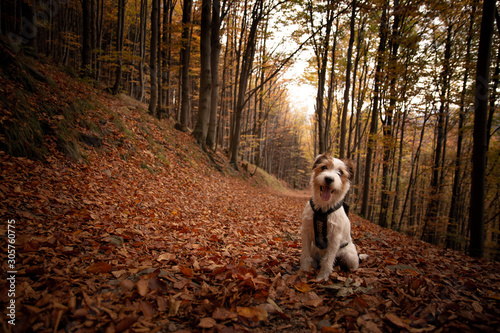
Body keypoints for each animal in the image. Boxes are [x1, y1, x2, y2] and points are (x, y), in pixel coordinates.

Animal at [298, 152, 362, 280]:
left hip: (349, 256)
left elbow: (328, 260)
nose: (329, 179)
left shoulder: (334, 238)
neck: (322, 209)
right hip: (314, 248)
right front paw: (303, 271)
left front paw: (322, 276)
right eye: (324, 167)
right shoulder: (306, 232)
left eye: (340, 172)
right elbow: (305, 255)